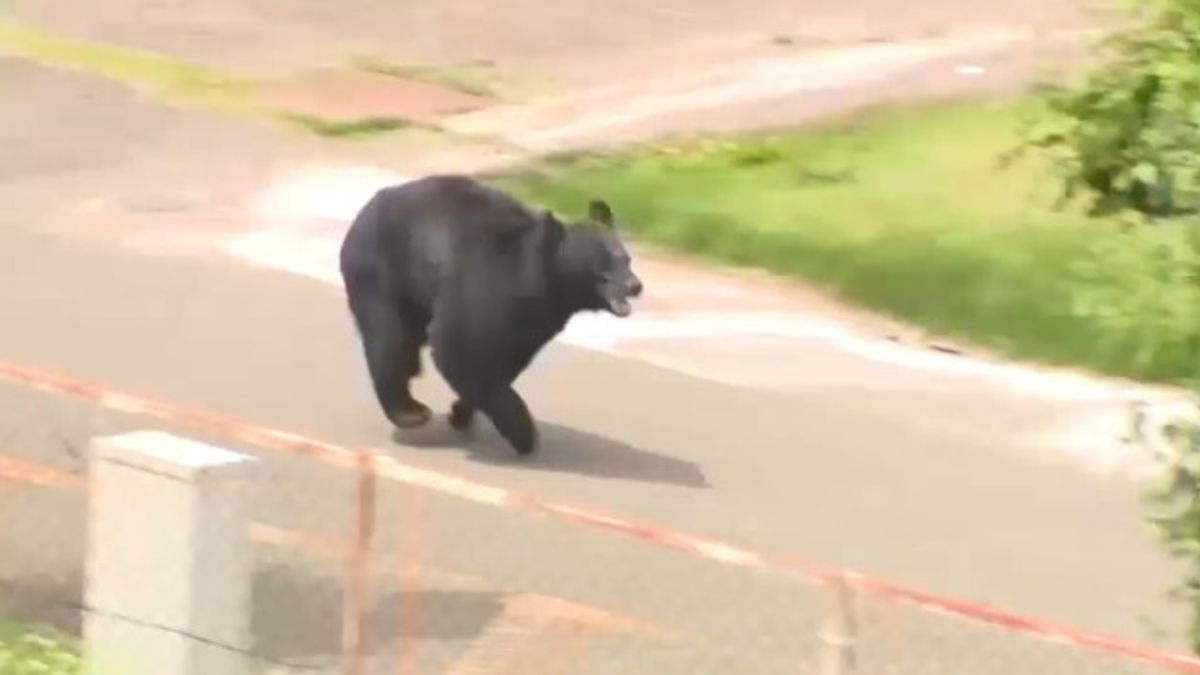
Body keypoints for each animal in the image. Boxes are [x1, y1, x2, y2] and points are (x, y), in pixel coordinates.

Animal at [338, 174, 643, 456]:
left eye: (626, 259)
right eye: (602, 267)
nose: (635, 286)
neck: (542, 279)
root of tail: (368, 207)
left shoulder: (537, 320)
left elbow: (507, 359)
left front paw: (461, 412)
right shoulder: (484, 284)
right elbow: (459, 347)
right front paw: (523, 434)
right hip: (380, 270)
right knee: (387, 337)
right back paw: (410, 412)